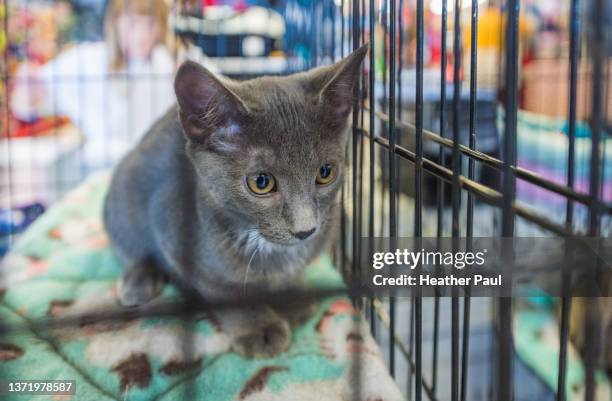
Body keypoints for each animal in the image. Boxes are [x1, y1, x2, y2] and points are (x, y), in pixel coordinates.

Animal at [103, 44, 366, 356]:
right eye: (261, 182)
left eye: (326, 173)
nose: (306, 230)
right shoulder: (171, 224)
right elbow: (225, 290)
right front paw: (259, 328)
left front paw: (290, 297)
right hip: (123, 196)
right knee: (128, 246)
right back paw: (139, 281)